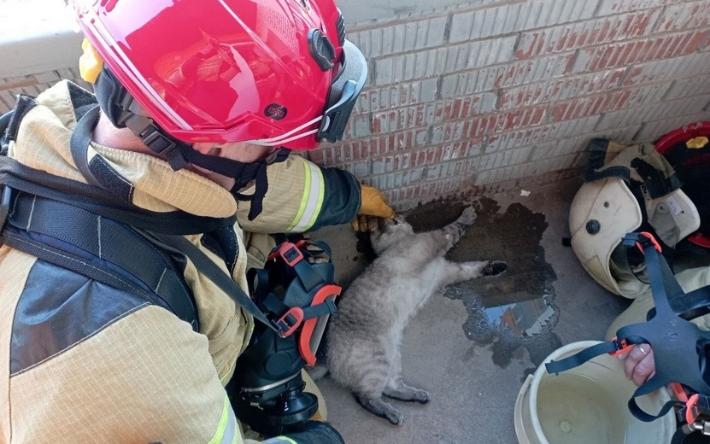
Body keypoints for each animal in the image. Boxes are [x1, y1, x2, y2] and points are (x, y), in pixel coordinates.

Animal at [326, 206, 508, 424]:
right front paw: (469, 213)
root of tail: (326, 357)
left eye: (396, 218)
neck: (396, 243)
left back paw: (418, 396)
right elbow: (455, 227)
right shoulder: (437, 239)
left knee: (390, 388)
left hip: (393, 358)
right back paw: (394, 414)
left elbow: (475, 267)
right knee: (366, 397)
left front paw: (498, 267)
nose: (395, 216)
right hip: (377, 363)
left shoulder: (450, 271)